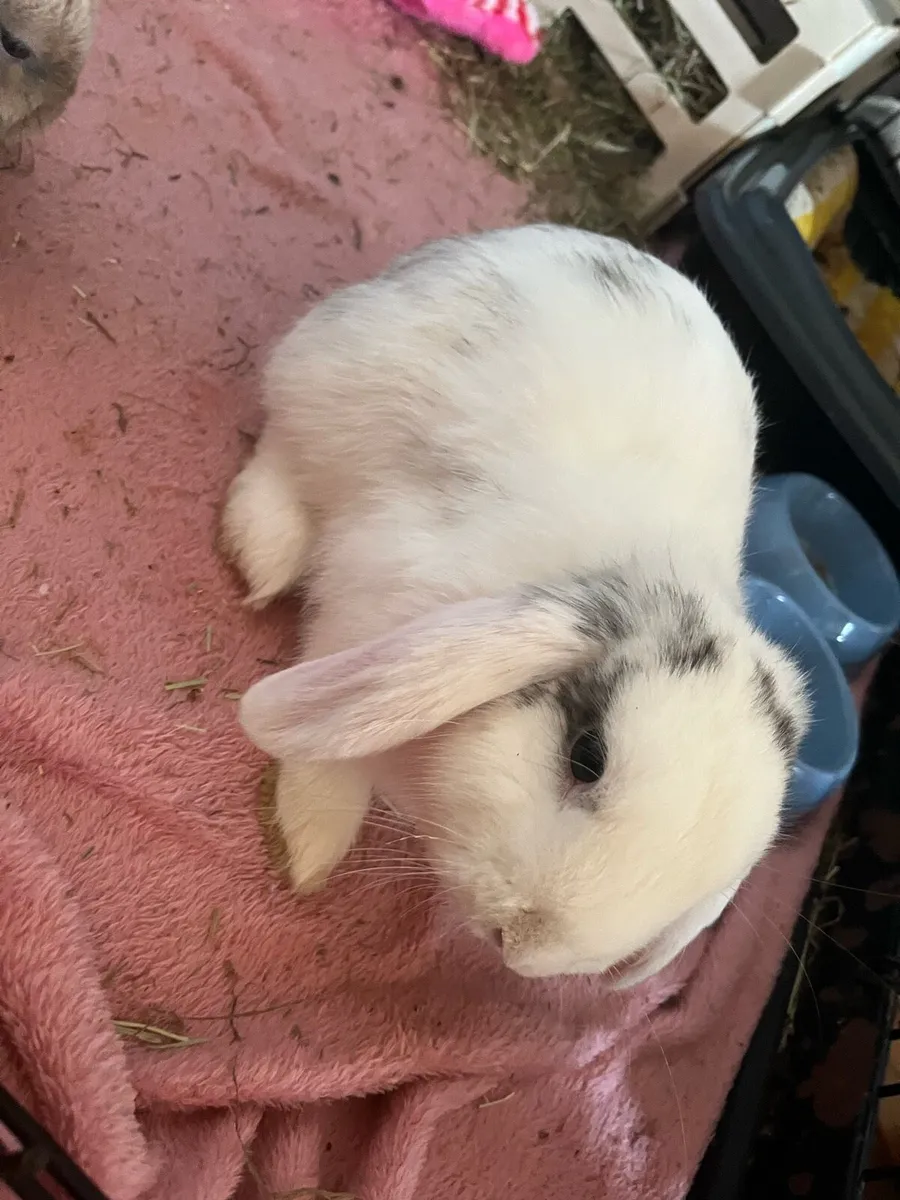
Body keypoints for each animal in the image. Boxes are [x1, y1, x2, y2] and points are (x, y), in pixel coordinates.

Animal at [222, 224, 809, 987]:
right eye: (586, 757)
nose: (524, 943)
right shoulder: (362, 609)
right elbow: (335, 751)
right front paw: (309, 845)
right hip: (332, 383)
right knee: (283, 444)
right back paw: (265, 549)